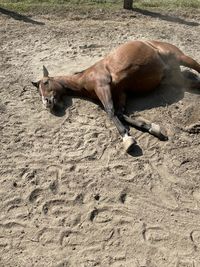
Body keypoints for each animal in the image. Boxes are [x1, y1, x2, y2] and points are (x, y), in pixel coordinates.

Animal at [31, 39, 200, 153]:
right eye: (39, 91)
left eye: (46, 82)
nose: (46, 103)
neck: (86, 78)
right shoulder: (120, 94)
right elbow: (120, 114)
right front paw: (153, 129)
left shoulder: (103, 87)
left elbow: (111, 112)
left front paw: (127, 140)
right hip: (177, 79)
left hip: (183, 58)